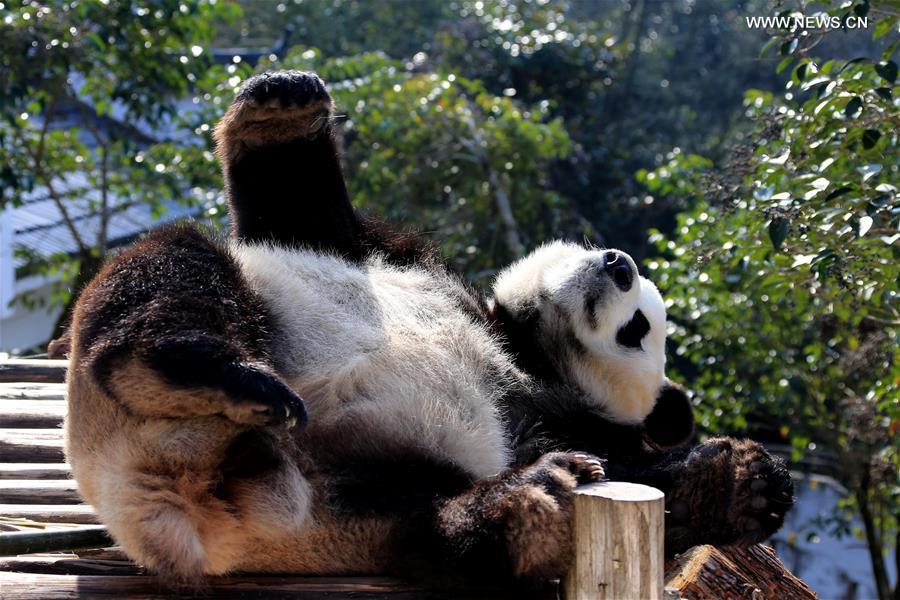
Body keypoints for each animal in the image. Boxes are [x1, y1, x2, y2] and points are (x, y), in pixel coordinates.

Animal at [64, 71, 793, 585]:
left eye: (638, 328)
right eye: (639, 302)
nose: (618, 263)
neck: (522, 349)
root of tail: (178, 498)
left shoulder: (566, 419)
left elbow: (633, 467)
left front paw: (741, 486)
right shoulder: (397, 256)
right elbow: (297, 212)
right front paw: (284, 103)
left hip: (352, 514)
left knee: (443, 527)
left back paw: (558, 503)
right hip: (241, 336)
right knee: (174, 270)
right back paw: (203, 372)